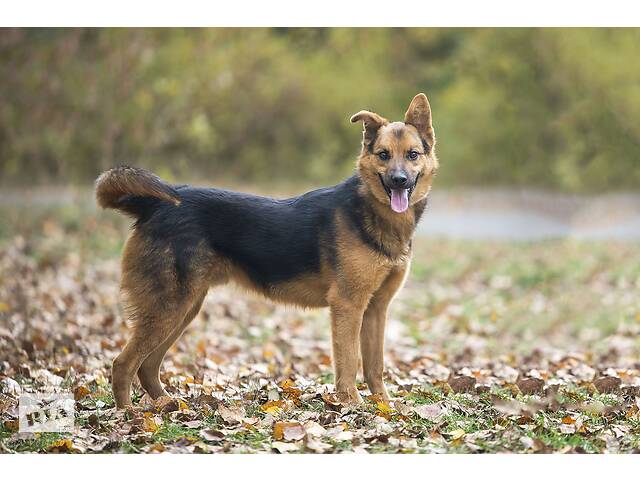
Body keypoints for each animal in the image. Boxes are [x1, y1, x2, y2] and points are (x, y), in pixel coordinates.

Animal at [95, 94, 438, 408]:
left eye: (412, 155)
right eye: (383, 155)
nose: (399, 181)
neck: (372, 213)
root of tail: (156, 205)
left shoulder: (376, 308)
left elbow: (375, 367)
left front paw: (384, 408)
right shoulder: (348, 305)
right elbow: (349, 362)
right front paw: (352, 406)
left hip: (183, 308)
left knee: (148, 366)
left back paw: (165, 406)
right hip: (169, 306)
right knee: (123, 364)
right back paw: (131, 417)